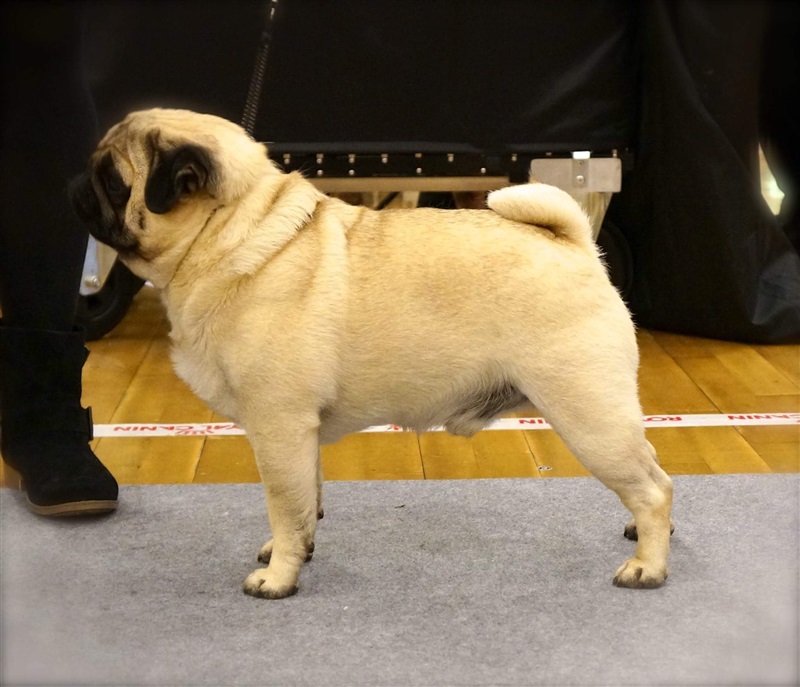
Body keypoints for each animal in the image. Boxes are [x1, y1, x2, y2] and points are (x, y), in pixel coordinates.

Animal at [70, 108, 674, 599]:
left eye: (113, 181)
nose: (75, 184)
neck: (233, 234)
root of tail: (575, 245)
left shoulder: (277, 425)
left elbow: (283, 504)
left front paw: (279, 577)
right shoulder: (299, 433)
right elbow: (306, 502)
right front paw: (295, 551)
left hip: (587, 415)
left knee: (652, 488)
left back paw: (647, 564)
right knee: (657, 472)